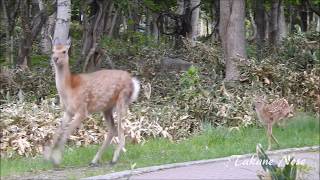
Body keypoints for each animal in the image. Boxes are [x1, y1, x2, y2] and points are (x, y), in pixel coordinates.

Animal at [44, 38, 140, 167]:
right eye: (53, 50)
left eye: (64, 51)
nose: (55, 58)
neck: (69, 89)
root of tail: (133, 82)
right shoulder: (68, 111)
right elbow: (58, 131)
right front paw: (47, 157)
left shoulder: (82, 110)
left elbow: (66, 133)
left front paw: (56, 160)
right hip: (107, 108)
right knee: (113, 130)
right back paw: (94, 160)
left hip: (122, 100)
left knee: (121, 131)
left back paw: (114, 159)